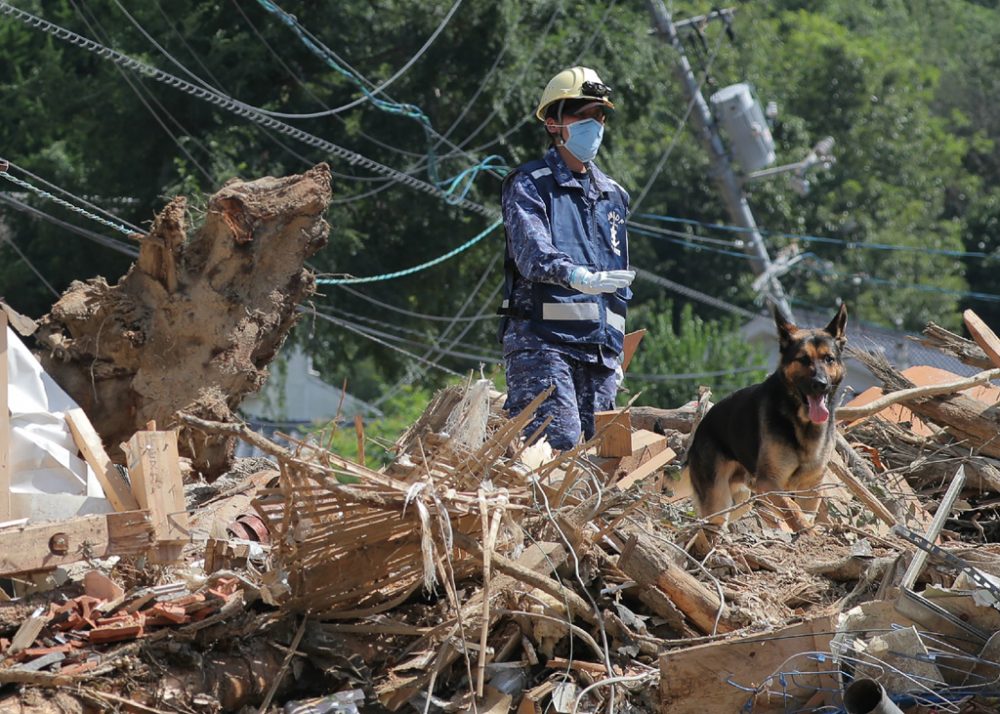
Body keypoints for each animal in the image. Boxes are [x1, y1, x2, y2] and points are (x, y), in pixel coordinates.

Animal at [692, 304, 848, 532]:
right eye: (803, 359)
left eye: (829, 359)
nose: (821, 384)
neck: (801, 422)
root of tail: (701, 425)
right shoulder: (769, 482)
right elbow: (791, 507)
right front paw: (805, 531)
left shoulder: (811, 486)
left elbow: (803, 511)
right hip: (718, 500)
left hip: (740, 500)